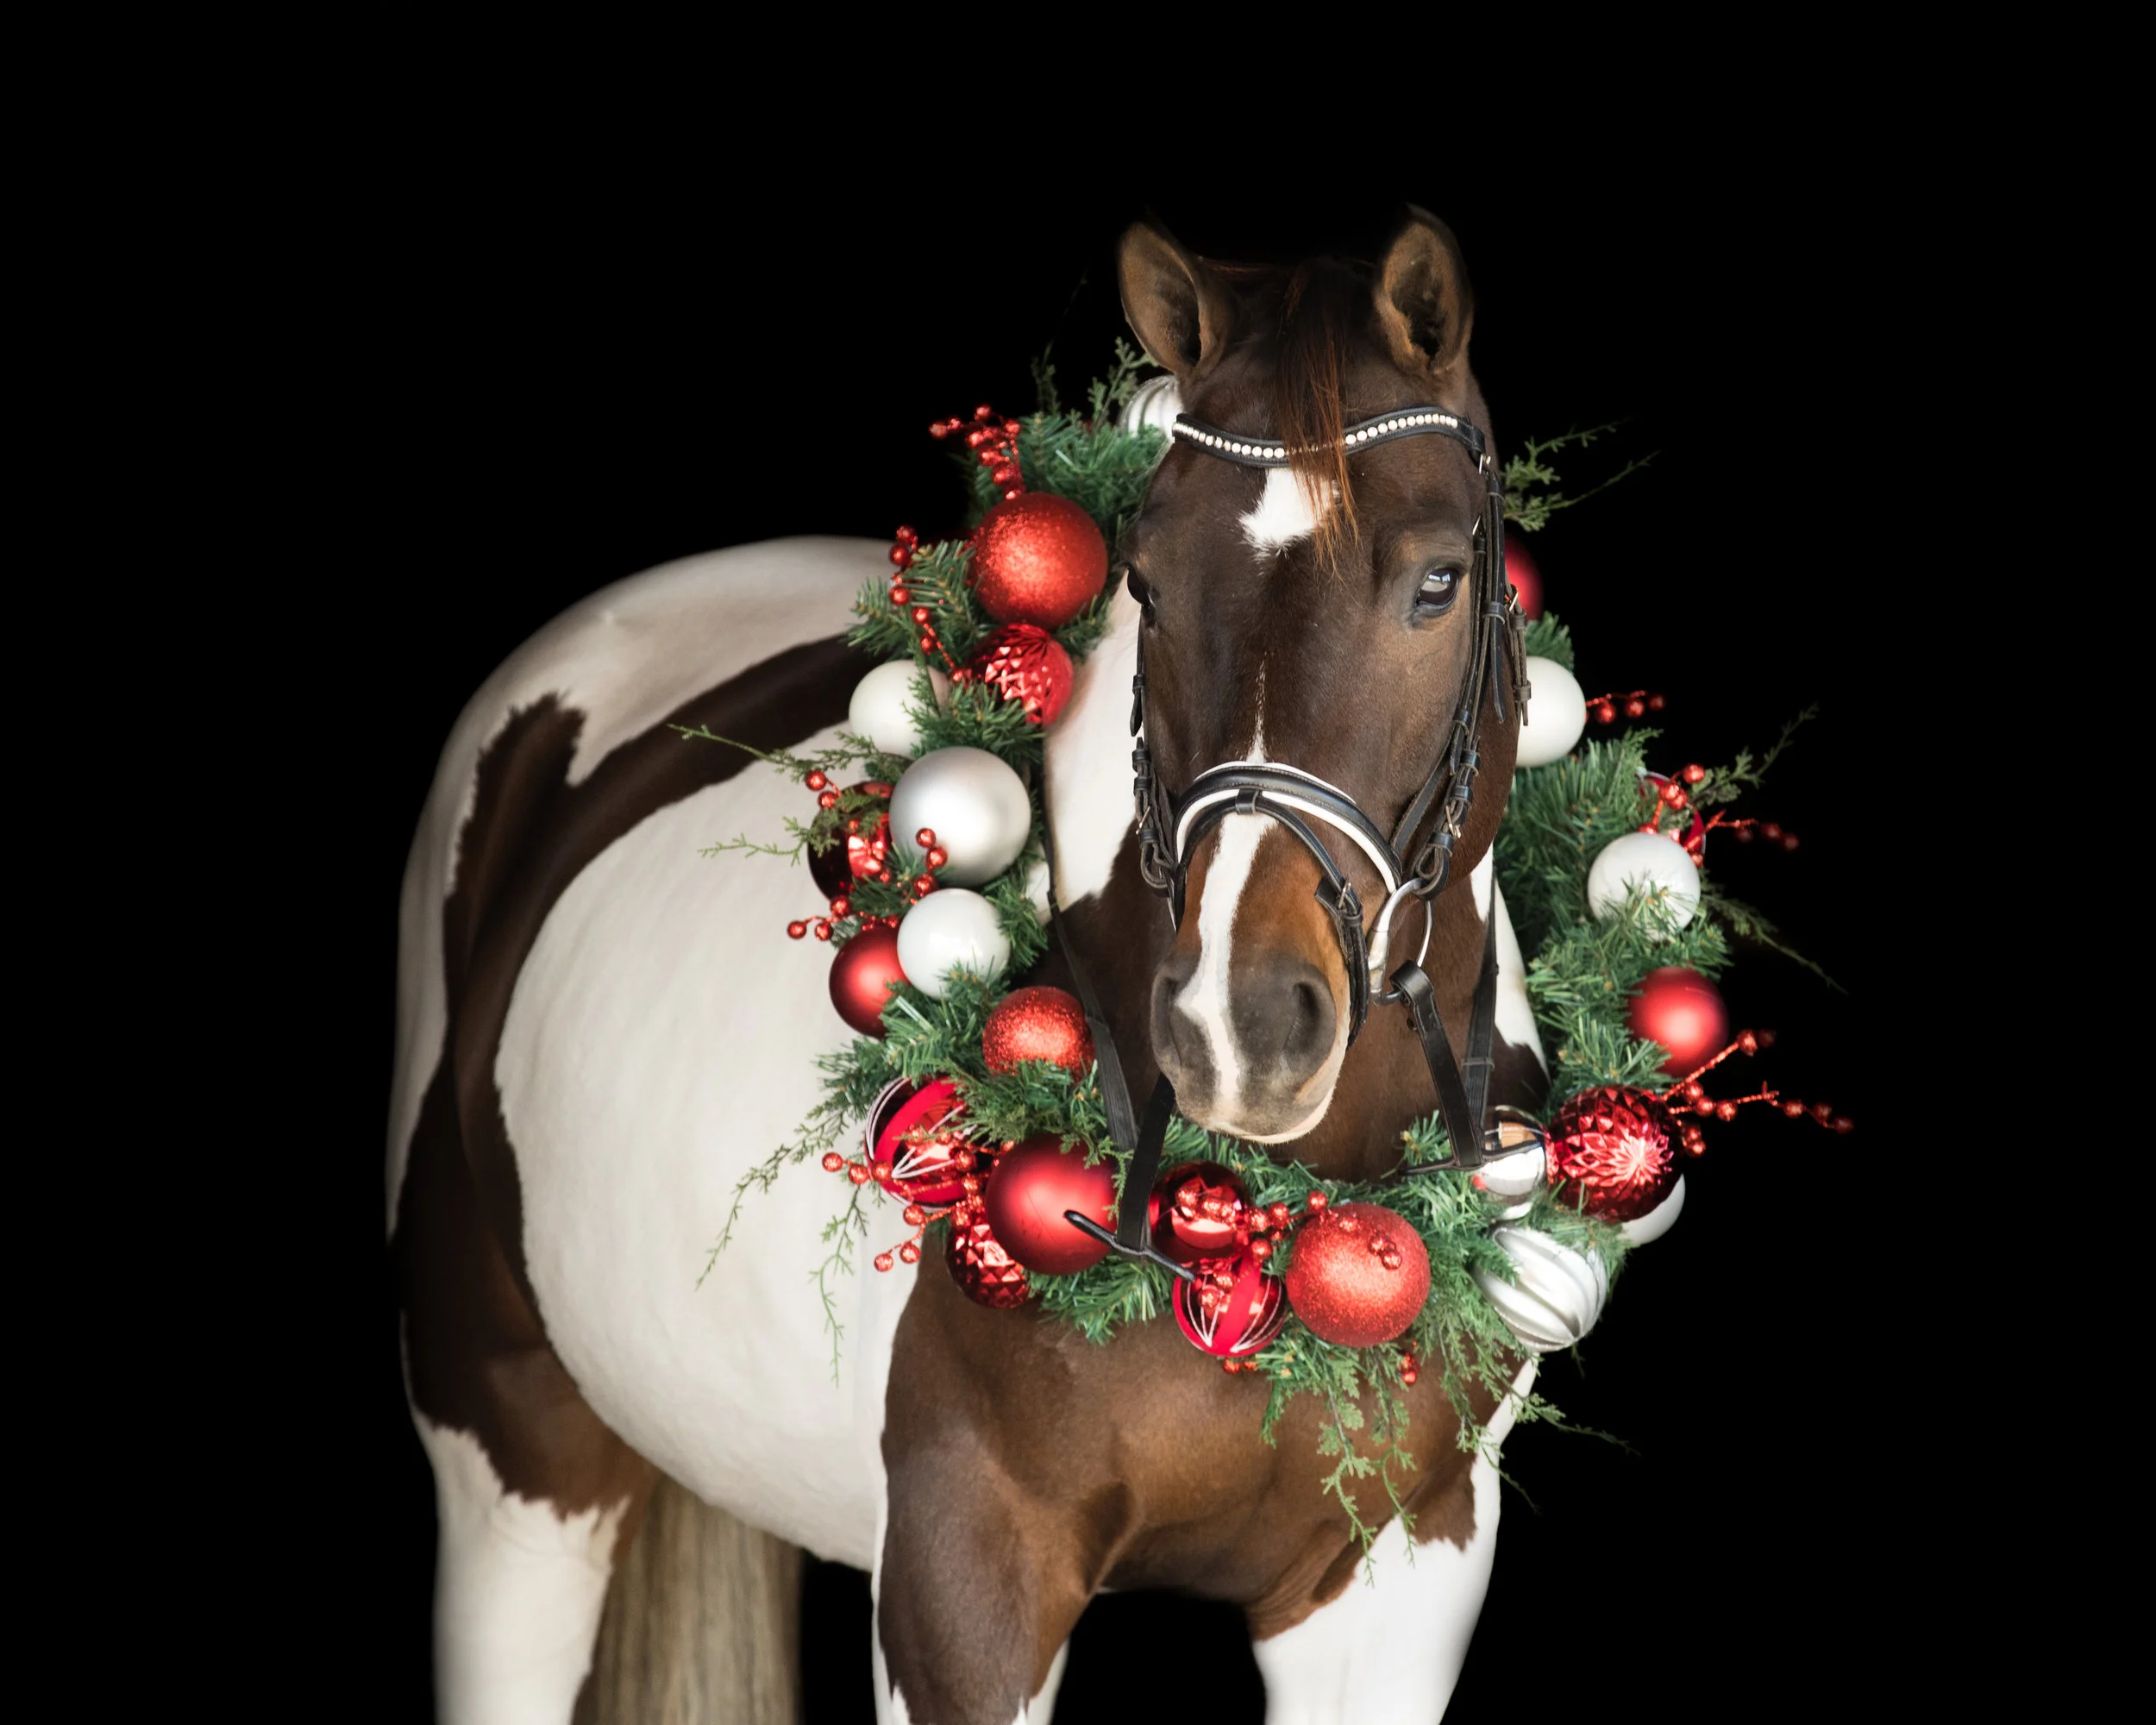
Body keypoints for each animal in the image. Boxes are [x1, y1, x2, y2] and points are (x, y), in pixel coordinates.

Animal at [391, 207, 1567, 1724]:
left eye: (1439, 581)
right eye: (1148, 581)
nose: (1238, 1025)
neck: (1265, 1218)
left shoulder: (1397, 1592)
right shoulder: (966, 1588)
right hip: (514, 1475)